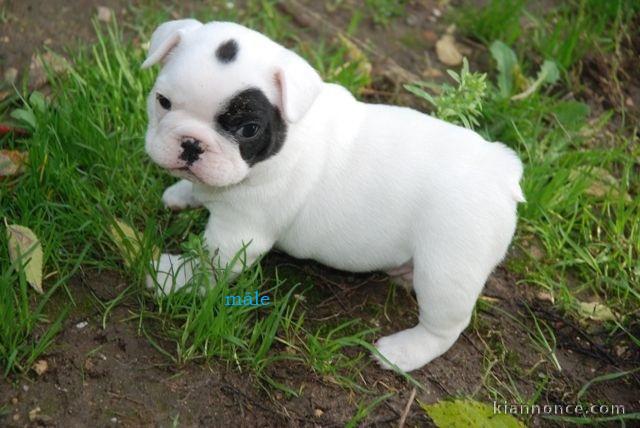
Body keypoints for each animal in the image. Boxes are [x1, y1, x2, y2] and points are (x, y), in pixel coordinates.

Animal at [142, 19, 524, 372]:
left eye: (248, 129)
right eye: (163, 101)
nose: (192, 143)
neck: (282, 143)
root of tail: (501, 170)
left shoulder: (238, 234)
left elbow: (206, 263)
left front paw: (171, 277)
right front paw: (182, 193)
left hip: (447, 268)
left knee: (446, 325)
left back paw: (403, 352)